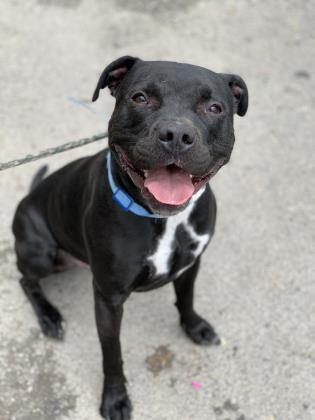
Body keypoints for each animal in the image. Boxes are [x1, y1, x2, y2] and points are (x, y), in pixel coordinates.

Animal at [12, 56, 249, 420]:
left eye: (214, 108)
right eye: (140, 98)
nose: (177, 134)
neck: (166, 219)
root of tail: (30, 195)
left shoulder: (191, 264)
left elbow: (187, 299)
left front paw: (194, 326)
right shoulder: (109, 299)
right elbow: (112, 353)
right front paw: (115, 398)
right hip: (40, 252)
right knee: (26, 280)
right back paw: (49, 316)